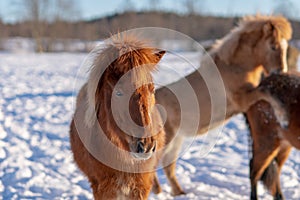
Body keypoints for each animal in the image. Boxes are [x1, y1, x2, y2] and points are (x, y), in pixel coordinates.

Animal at [154, 15, 292, 195]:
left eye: (285, 47)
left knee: (167, 166)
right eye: (273, 46)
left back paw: (179, 192)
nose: (280, 72)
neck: (234, 67)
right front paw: (283, 117)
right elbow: (266, 92)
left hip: (176, 140)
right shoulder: (244, 99)